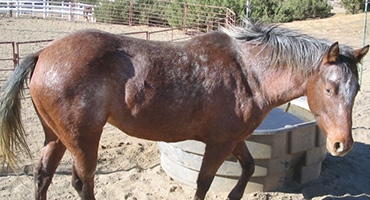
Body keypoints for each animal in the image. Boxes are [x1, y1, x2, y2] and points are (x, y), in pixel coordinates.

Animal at [0, 20, 368, 200]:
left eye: (357, 90)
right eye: (330, 89)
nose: (342, 145)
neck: (248, 72)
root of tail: (43, 54)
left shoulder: (234, 139)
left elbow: (249, 168)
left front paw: (234, 195)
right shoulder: (218, 145)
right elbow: (203, 184)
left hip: (56, 136)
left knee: (43, 176)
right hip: (83, 139)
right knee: (83, 182)